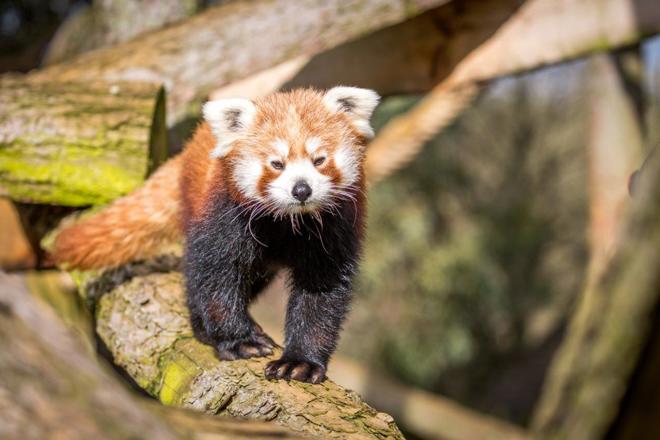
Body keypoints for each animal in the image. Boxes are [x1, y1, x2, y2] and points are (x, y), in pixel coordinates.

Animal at [53, 86, 378, 382]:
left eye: (319, 160)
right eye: (276, 163)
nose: (301, 189)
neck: (288, 223)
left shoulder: (334, 230)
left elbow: (320, 295)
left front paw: (301, 362)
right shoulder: (226, 217)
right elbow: (216, 276)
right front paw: (239, 341)